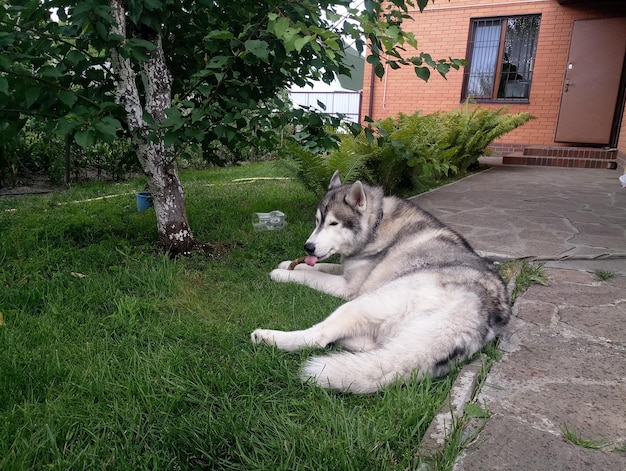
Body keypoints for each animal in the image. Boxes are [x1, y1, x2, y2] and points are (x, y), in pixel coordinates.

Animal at [251, 172, 510, 394]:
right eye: (317, 222)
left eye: (333, 224)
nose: (308, 247)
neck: (377, 224)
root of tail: (476, 312)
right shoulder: (345, 268)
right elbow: (318, 266)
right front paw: (289, 263)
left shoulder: (348, 287)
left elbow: (311, 275)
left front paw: (281, 274)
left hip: (364, 303)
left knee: (320, 337)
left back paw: (269, 337)